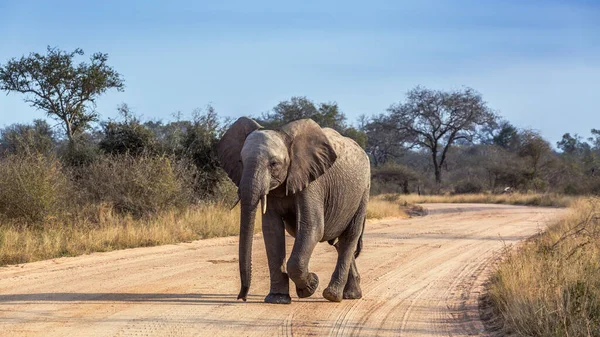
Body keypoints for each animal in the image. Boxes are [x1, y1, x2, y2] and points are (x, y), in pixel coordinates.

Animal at [218, 117, 370, 304]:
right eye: (240, 162)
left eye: (274, 164)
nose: (242, 297)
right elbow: (272, 230)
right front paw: (277, 299)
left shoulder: (312, 182)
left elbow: (312, 227)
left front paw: (310, 286)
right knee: (339, 243)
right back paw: (351, 295)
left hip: (363, 191)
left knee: (350, 236)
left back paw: (333, 295)